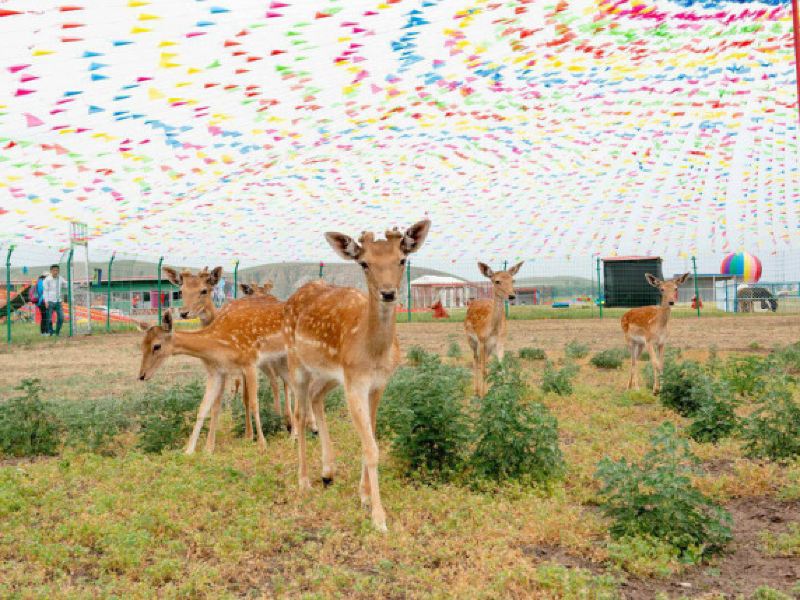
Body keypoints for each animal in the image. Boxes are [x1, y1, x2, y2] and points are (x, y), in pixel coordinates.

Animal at [284, 218, 428, 532]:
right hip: (296, 360)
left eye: (402, 259)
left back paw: (327, 472)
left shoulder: (378, 384)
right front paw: (379, 518)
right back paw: (304, 480)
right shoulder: (355, 383)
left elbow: (370, 437)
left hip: (329, 374)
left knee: (315, 397)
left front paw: (363, 496)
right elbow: (371, 447)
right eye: (364, 263)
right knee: (300, 413)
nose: (388, 293)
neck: (373, 355)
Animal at [462, 262, 524, 398]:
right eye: (497, 281)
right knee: (476, 360)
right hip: (470, 339)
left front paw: (505, 394)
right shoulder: (481, 340)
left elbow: (502, 368)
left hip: (488, 348)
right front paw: (483, 395)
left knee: (483, 362)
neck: (492, 330)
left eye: (513, 280)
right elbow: (483, 369)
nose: (512, 296)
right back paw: (476, 391)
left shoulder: (500, 342)